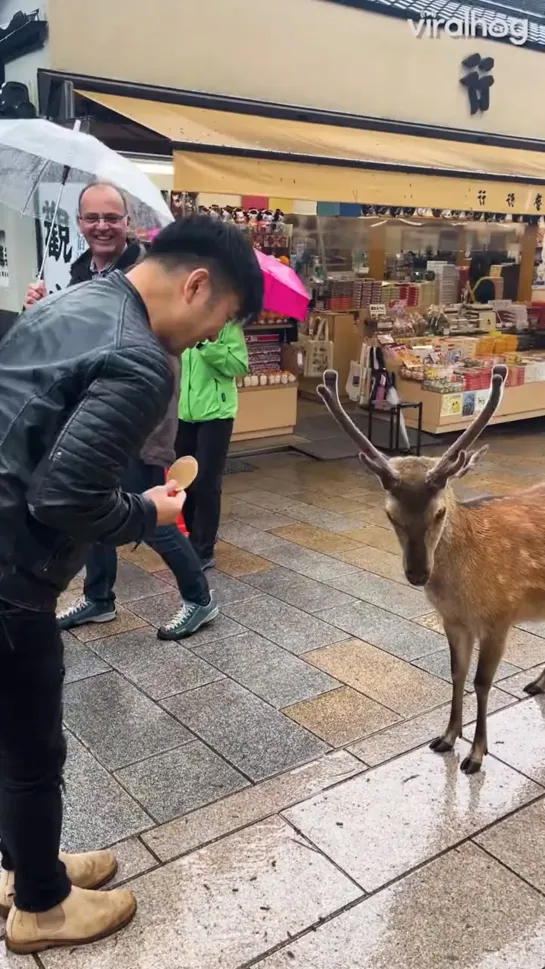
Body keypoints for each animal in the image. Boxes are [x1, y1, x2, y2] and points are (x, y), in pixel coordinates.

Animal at [316, 366, 544, 776]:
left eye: (440, 511)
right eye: (390, 514)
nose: (418, 574)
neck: (464, 596)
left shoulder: (500, 617)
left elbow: (482, 682)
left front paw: (476, 755)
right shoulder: (452, 621)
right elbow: (455, 673)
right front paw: (447, 737)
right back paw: (537, 684)